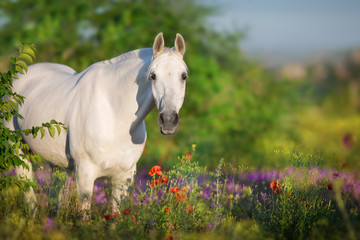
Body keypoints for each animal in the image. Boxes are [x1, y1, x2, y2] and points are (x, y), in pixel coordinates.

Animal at [4, 33, 188, 214]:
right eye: (153, 75)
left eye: (184, 75)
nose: (168, 120)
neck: (114, 115)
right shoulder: (85, 174)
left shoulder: (123, 178)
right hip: (19, 153)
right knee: (29, 193)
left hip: (58, 163)